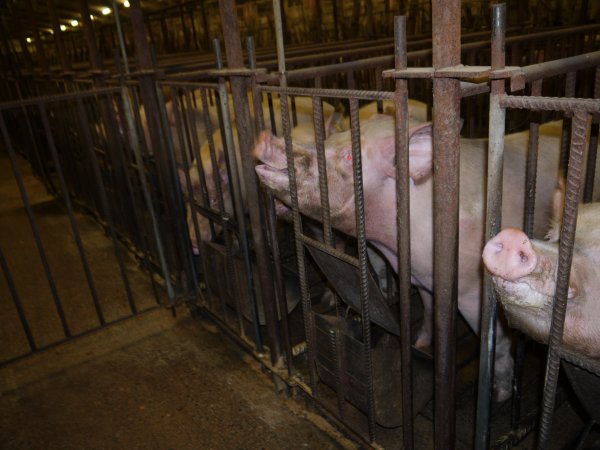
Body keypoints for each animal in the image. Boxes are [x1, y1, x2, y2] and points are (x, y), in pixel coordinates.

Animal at [253, 115, 564, 400]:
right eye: (329, 140)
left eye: (348, 155)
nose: (264, 137)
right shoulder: (421, 276)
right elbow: (428, 310)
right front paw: (420, 344)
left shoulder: (474, 289)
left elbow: (495, 341)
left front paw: (500, 396)